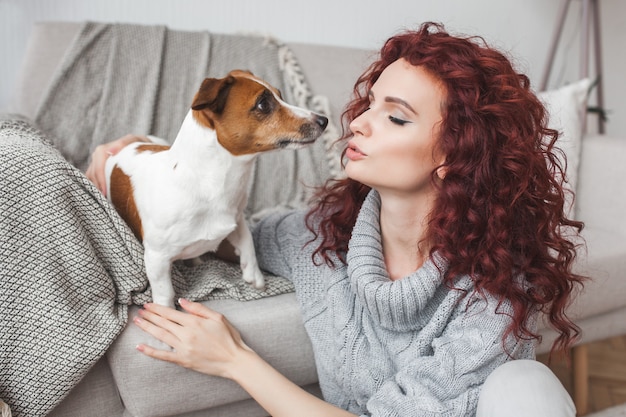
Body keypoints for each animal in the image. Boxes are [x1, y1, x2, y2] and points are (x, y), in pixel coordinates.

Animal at [105, 69, 326, 306]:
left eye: (280, 95)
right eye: (263, 104)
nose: (324, 120)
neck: (213, 186)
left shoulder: (237, 221)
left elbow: (247, 242)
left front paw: (254, 275)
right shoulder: (156, 258)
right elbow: (165, 294)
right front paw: (166, 310)